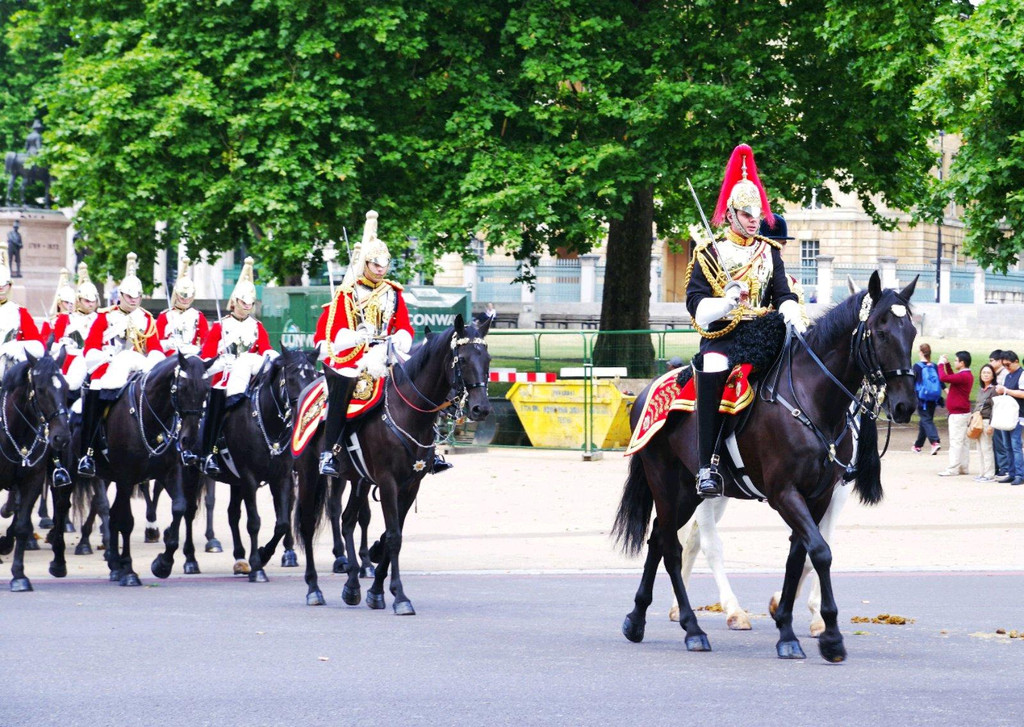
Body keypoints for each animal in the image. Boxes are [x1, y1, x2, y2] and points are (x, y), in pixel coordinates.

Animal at [0, 350, 71, 593]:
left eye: (66, 387)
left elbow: (22, 526)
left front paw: (19, 576)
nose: (61, 437)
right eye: (40, 389)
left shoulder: (32, 479)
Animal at [78, 352, 216, 585]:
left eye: (207, 389)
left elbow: (179, 508)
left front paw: (163, 563)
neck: (149, 416)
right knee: (108, 510)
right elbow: (126, 521)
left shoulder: (171, 472)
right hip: (103, 475)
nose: (188, 440)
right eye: (183, 387)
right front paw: (130, 571)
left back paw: (114, 564)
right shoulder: (126, 477)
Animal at [187, 350, 315, 585]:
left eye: (313, 376)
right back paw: (190, 560)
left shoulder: (281, 478)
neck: (267, 421)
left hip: (235, 481)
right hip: (191, 472)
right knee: (188, 511)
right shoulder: (249, 478)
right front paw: (258, 568)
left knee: (232, 514)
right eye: (291, 377)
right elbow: (254, 522)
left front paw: (264, 555)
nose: (305, 412)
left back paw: (239, 558)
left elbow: (282, 522)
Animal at [296, 317, 491, 614]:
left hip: (359, 481)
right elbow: (394, 537)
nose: (481, 409)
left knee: (348, 521)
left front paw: (376, 591)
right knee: (308, 524)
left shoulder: (410, 485)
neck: (409, 412)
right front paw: (400, 596)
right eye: (464, 359)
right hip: (309, 473)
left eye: (487, 358)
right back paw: (313, 588)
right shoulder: (388, 482)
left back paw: (352, 585)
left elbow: (391, 534)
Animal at [610, 272, 917, 659]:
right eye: (880, 331)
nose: (905, 405)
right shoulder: (784, 493)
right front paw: (827, 634)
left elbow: (801, 554)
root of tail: (646, 391)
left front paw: (789, 625)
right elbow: (820, 552)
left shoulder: (821, 494)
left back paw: (637, 619)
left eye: (912, 332)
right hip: (668, 483)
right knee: (677, 547)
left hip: (686, 492)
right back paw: (695, 627)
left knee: (658, 540)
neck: (814, 400)